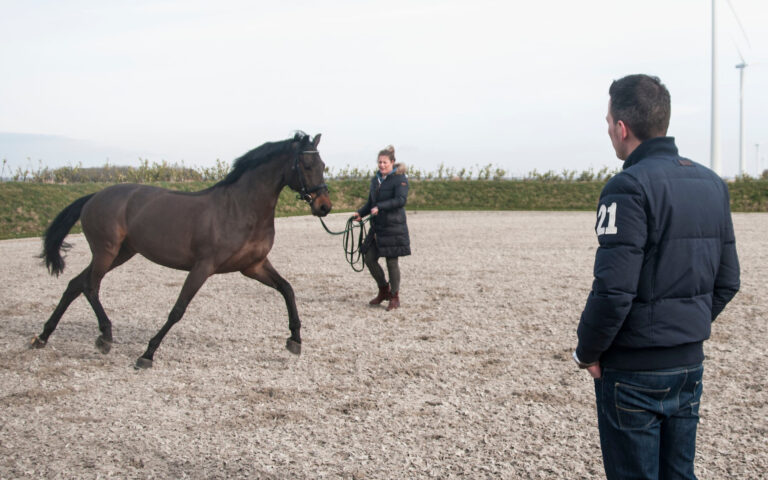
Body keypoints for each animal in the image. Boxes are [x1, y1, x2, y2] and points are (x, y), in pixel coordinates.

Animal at [30, 132, 331, 369]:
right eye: (306, 164)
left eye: (323, 165)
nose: (324, 206)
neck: (241, 208)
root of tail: (94, 196)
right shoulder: (203, 267)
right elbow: (178, 310)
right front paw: (147, 354)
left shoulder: (253, 266)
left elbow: (287, 289)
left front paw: (295, 340)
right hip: (106, 251)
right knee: (90, 287)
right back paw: (104, 336)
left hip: (122, 253)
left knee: (75, 284)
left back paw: (42, 337)